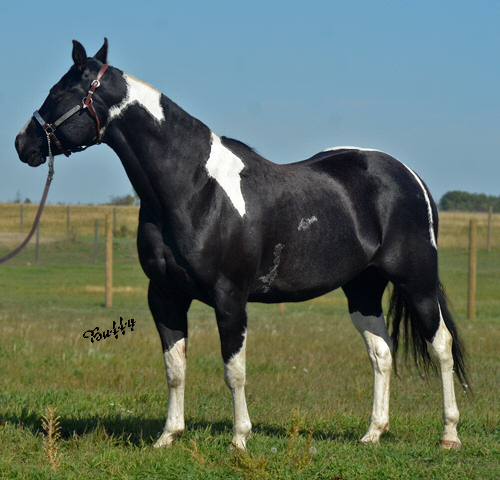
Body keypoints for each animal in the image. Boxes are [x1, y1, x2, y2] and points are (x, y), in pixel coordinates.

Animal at [15, 40, 468, 450]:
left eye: (58, 93)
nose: (23, 144)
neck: (193, 188)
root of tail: (408, 175)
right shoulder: (164, 295)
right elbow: (174, 368)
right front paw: (168, 436)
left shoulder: (229, 297)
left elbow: (234, 370)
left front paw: (239, 439)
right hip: (363, 289)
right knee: (381, 353)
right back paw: (373, 433)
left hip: (417, 281)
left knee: (441, 346)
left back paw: (449, 435)